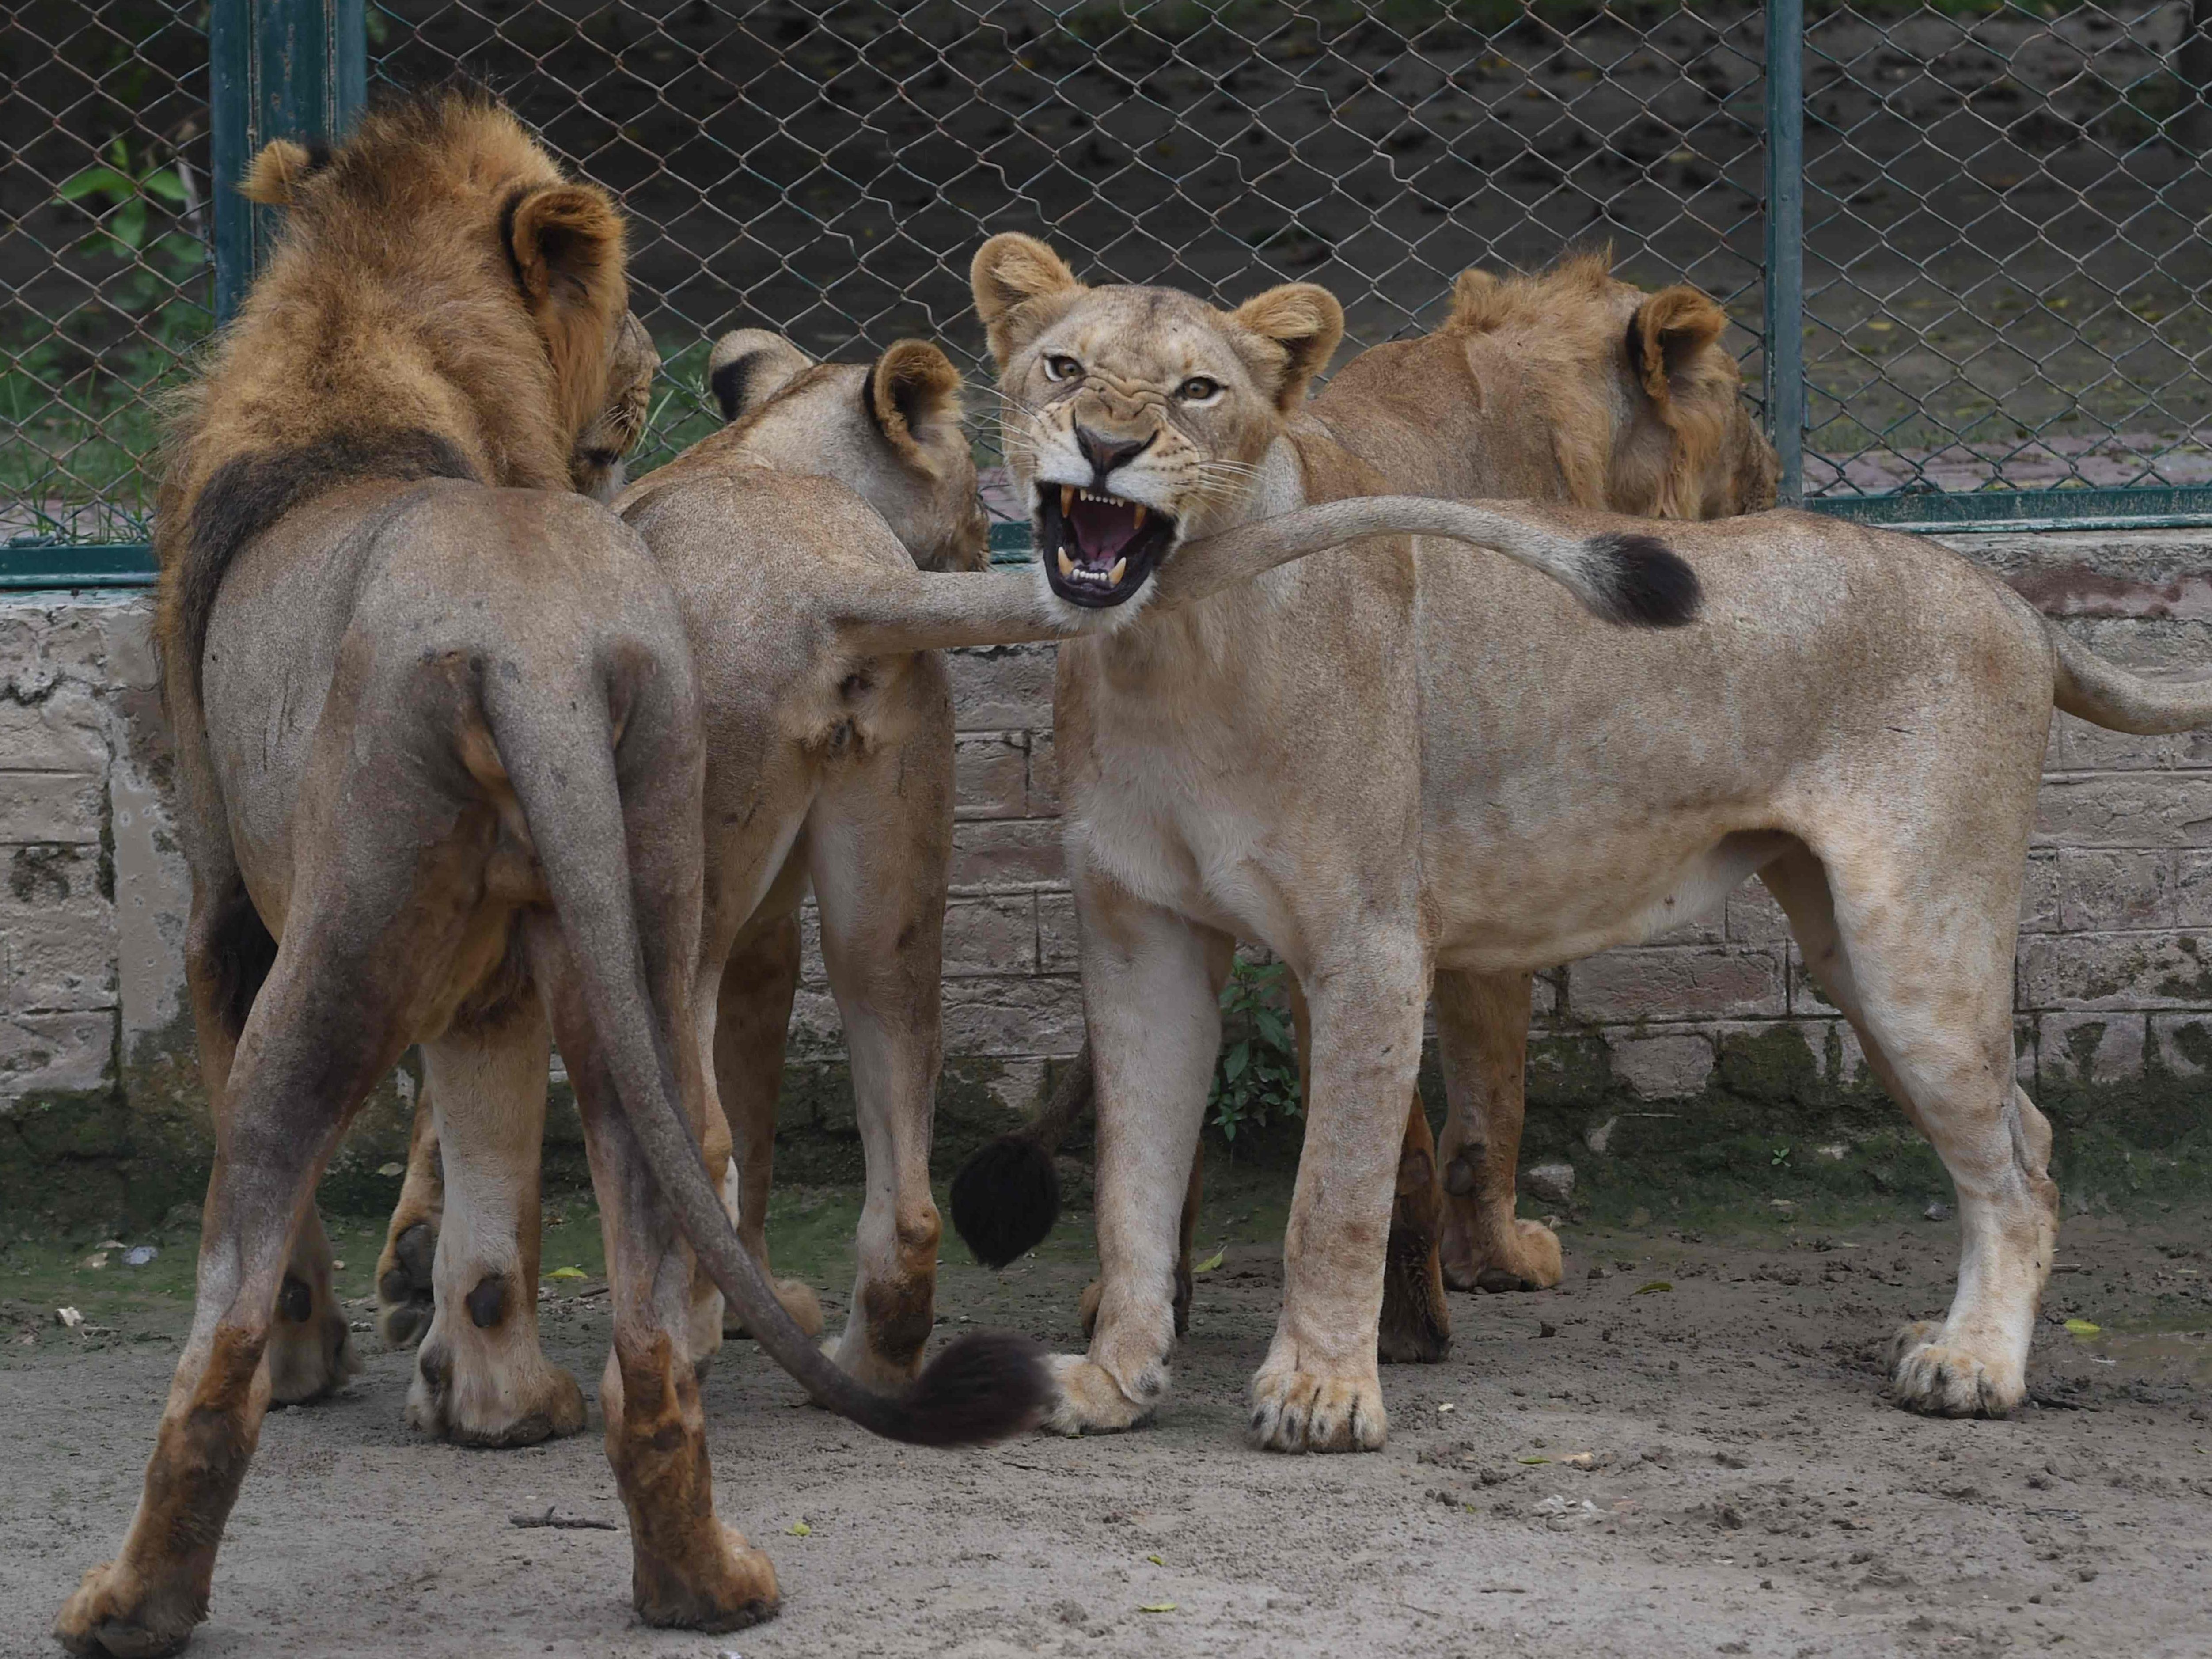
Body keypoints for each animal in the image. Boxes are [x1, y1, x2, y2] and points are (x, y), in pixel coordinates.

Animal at [364, 321, 1698, 1438]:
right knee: (894, 1177)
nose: (981, 540)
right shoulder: (766, 929)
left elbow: (461, 1118)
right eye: (975, 477)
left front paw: (425, 1315)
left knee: (686, 1127)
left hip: (682, 887)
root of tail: (829, 581)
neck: (765, 452)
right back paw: (863, 1355)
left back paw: (668, 1361)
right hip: (891, 884)